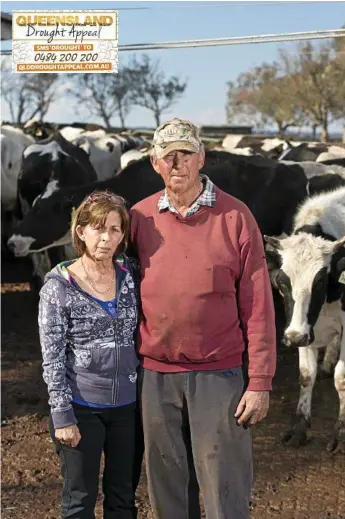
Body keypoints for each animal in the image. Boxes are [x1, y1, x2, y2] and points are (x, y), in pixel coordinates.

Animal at [264, 189, 344, 452]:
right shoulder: (305, 328)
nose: (293, 337)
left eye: (319, 280)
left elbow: (341, 378)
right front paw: (300, 428)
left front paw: (340, 434)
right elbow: (306, 375)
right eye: (281, 281)